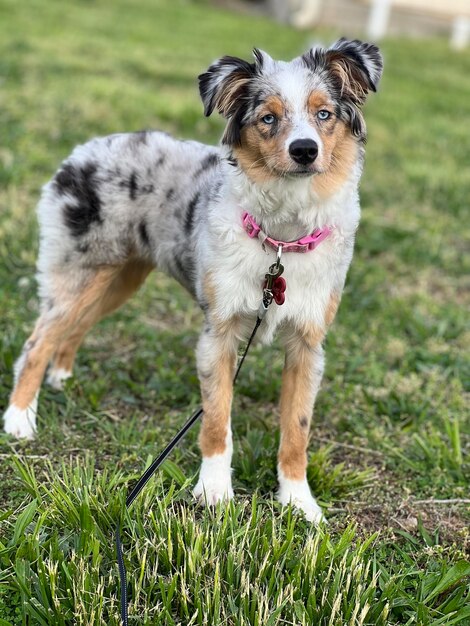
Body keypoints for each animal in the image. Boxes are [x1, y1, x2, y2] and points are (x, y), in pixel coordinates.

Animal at [2, 39, 382, 520]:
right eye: (268, 118)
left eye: (324, 114)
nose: (304, 150)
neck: (281, 239)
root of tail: (84, 149)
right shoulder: (218, 332)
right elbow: (217, 417)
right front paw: (214, 491)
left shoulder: (308, 342)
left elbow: (297, 429)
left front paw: (298, 501)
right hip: (81, 272)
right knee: (38, 341)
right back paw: (19, 420)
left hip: (119, 280)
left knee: (74, 327)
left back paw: (61, 376)